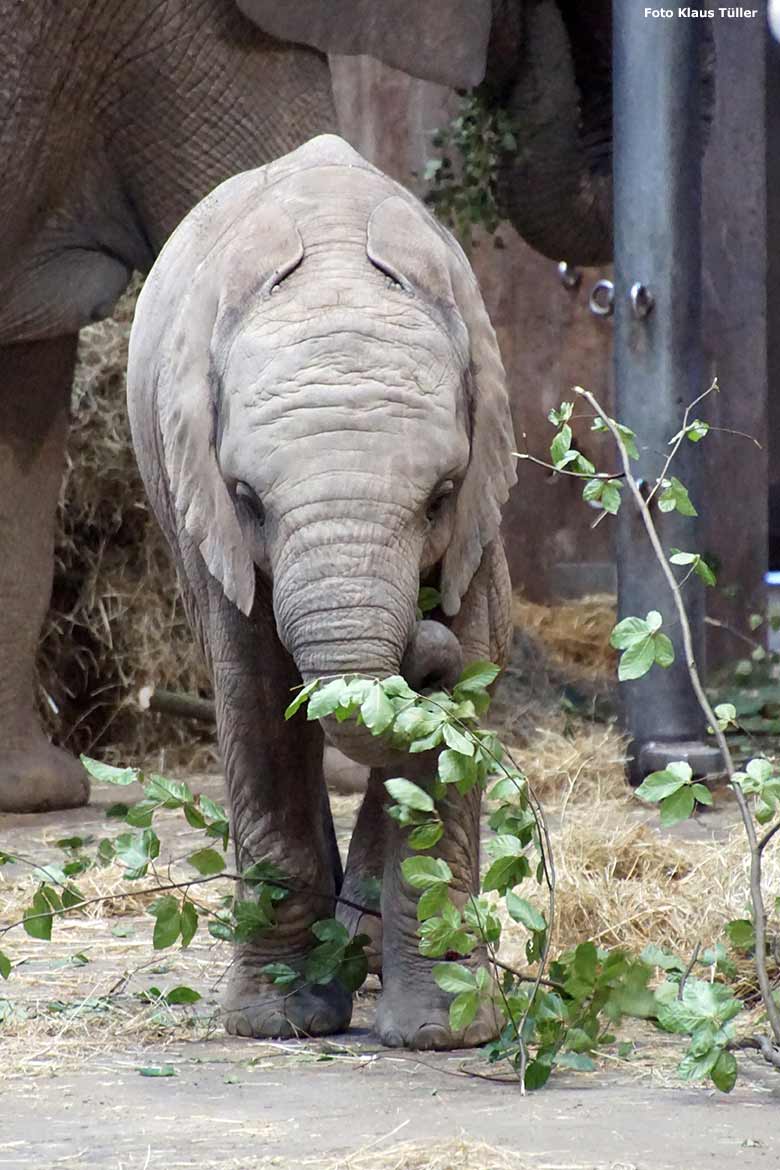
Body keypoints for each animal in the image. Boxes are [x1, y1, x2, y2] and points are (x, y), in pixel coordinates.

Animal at [126, 132, 519, 1048]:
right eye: (246, 498)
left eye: (443, 496)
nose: (419, 645)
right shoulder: (209, 519)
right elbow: (255, 692)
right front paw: (277, 1019)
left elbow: (468, 676)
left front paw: (444, 1032)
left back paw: (365, 950)